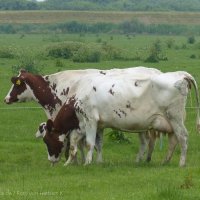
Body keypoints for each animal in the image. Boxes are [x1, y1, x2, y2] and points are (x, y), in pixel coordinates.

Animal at [42, 71, 200, 166]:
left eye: (47, 140)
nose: (50, 160)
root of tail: (180, 74)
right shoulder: (88, 125)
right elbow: (89, 144)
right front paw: (92, 162)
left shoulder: (91, 120)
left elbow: (89, 143)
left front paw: (87, 163)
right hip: (171, 122)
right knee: (173, 140)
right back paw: (165, 161)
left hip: (175, 117)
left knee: (183, 137)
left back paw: (181, 163)